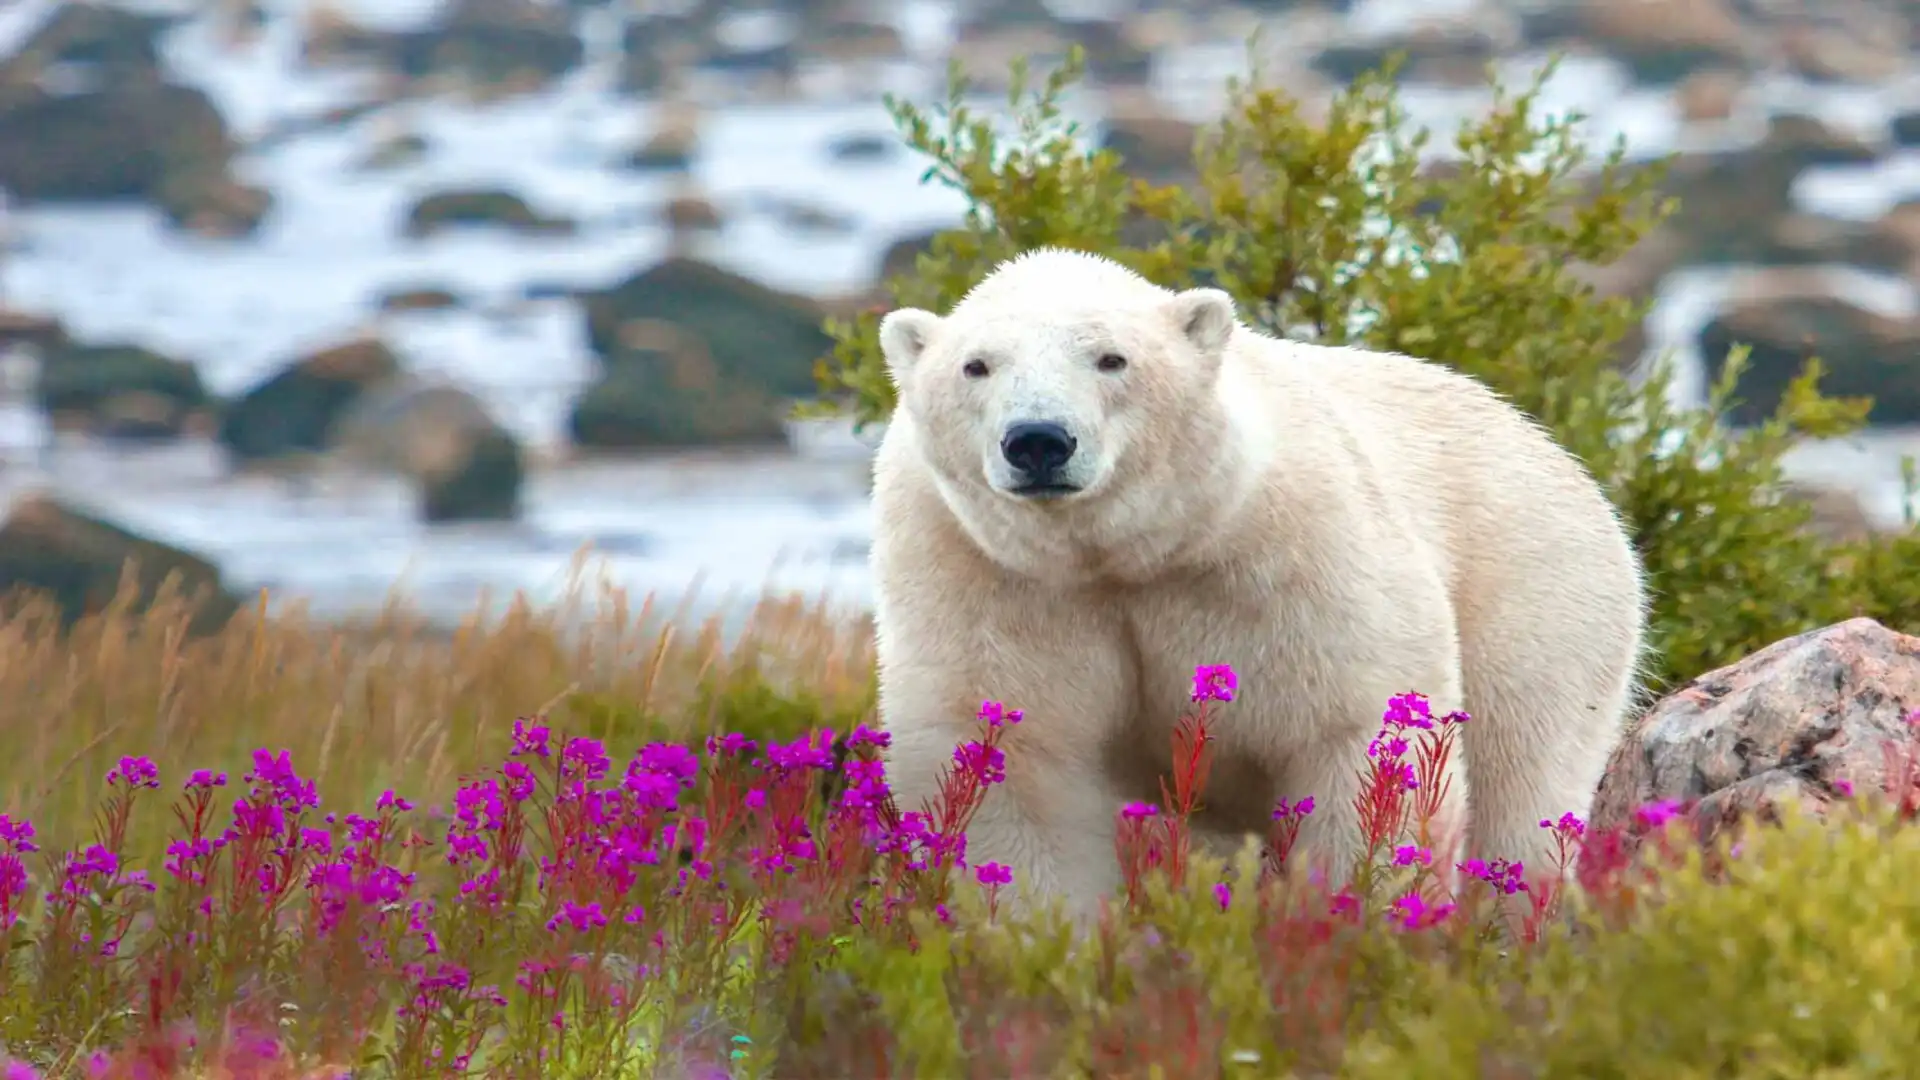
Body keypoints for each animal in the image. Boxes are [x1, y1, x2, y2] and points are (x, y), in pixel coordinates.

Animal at [871, 245, 1651, 914]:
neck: (1121, 556)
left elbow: (1350, 730)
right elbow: (1018, 765)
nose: (1038, 440)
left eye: (1112, 358)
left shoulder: (1286, 554)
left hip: (1535, 588)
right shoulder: (989, 580)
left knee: (1524, 782)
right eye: (976, 366)